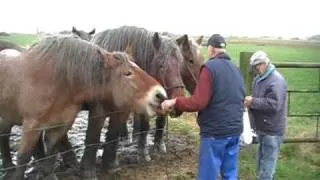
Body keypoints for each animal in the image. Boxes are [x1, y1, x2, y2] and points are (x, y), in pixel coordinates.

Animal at [0, 34, 166, 179]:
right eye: (127, 73)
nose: (160, 95)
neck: (60, 82)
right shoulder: (31, 124)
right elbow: (23, 157)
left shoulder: (60, 126)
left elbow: (51, 155)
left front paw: (49, 175)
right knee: (5, 137)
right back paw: (9, 168)